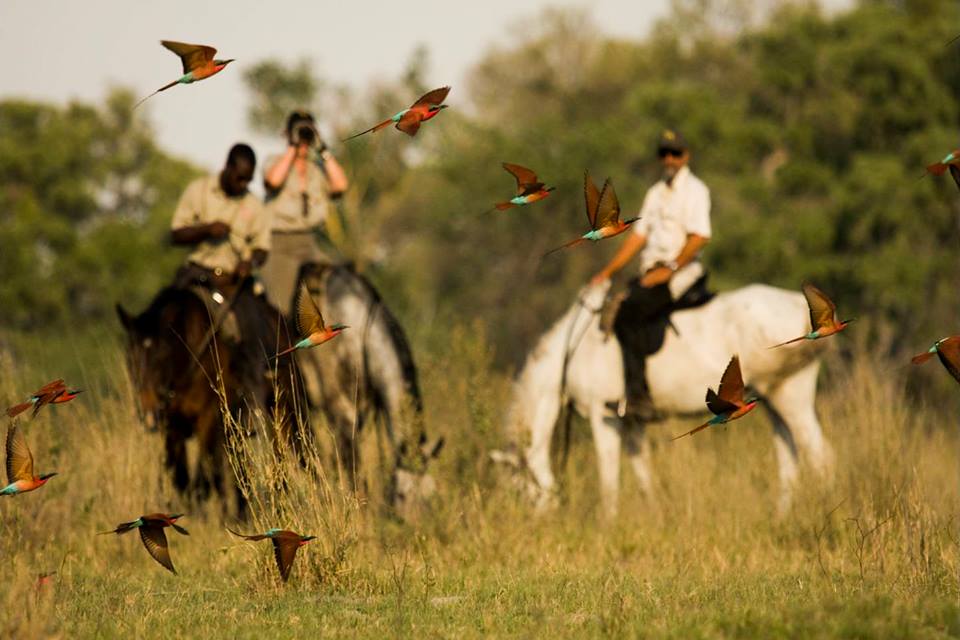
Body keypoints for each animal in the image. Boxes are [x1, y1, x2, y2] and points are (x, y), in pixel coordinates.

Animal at [116, 282, 304, 512]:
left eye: (162, 354)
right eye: (129, 356)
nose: (149, 414)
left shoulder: (208, 419)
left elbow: (202, 480)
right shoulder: (173, 427)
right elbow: (183, 478)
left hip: (285, 410)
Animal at [498, 282, 836, 516]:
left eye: (519, 487)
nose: (537, 521)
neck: (571, 354)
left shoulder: (601, 414)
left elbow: (608, 475)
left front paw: (608, 522)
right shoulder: (632, 421)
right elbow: (642, 471)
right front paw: (653, 514)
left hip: (790, 393)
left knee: (818, 453)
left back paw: (824, 508)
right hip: (769, 399)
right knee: (788, 453)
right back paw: (783, 514)